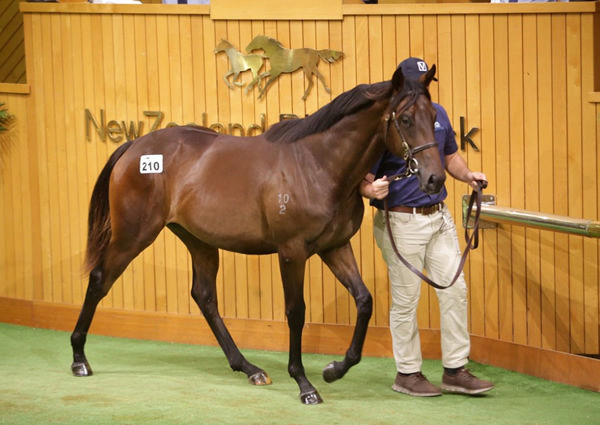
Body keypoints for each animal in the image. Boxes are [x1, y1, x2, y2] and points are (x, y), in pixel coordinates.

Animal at [71, 64, 446, 402]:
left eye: (433, 117)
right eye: (406, 119)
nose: (434, 179)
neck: (317, 165)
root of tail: (134, 146)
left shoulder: (335, 247)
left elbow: (364, 300)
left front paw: (334, 370)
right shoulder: (292, 252)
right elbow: (296, 312)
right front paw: (304, 384)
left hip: (199, 241)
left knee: (204, 297)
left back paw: (248, 368)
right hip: (132, 235)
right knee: (100, 279)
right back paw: (79, 358)